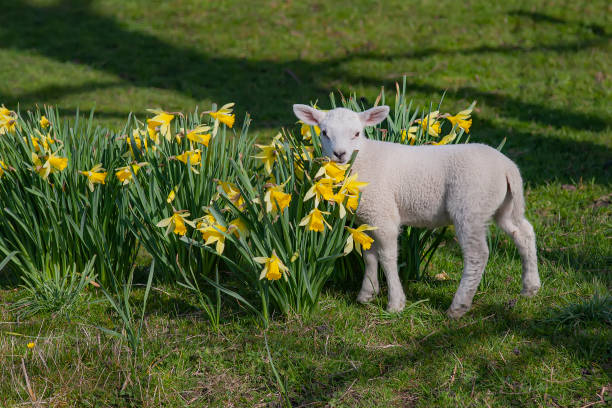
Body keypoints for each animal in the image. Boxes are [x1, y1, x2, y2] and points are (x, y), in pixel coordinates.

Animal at [294, 103, 536, 318]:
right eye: (324, 133)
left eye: (356, 133)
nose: (340, 154)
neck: (364, 157)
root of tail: (507, 167)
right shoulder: (368, 216)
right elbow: (369, 255)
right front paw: (367, 294)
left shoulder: (383, 214)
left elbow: (387, 257)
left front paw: (395, 303)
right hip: (503, 204)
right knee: (523, 232)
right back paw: (531, 287)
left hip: (469, 205)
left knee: (477, 254)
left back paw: (458, 307)